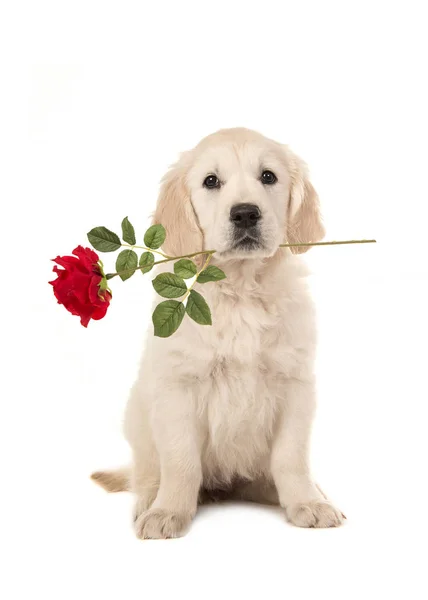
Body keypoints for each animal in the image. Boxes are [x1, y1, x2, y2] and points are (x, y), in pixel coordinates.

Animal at [93, 127, 344, 540]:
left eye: (268, 177)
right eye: (211, 181)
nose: (245, 213)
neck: (240, 289)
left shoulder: (294, 384)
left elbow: (291, 457)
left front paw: (307, 502)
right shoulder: (178, 387)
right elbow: (180, 461)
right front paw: (168, 511)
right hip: (138, 416)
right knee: (146, 471)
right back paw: (149, 501)